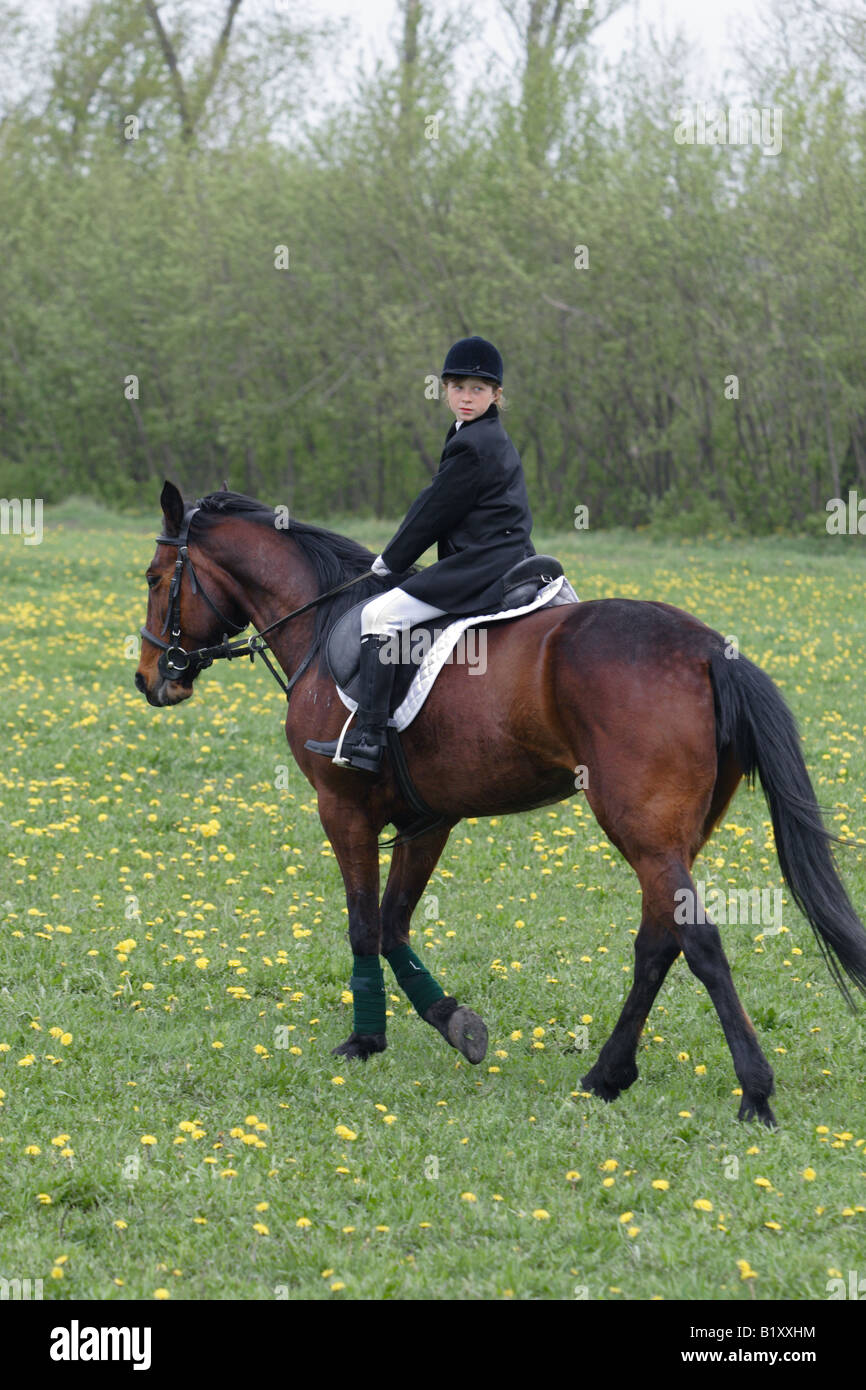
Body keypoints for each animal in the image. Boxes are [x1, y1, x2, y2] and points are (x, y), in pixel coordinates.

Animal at [134, 483, 866, 1123]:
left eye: (153, 577)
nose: (149, 680)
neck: (320, 621)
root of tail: (710, 649)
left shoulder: (343, 809)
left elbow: (365, 926)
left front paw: (366, 1040)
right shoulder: (426, 820)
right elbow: (396, 926)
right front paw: (456, 1023)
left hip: (641, 830)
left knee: (699, 942)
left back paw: (754, 1093)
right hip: (673, 836)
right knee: (658, 944)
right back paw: (607, 1075)